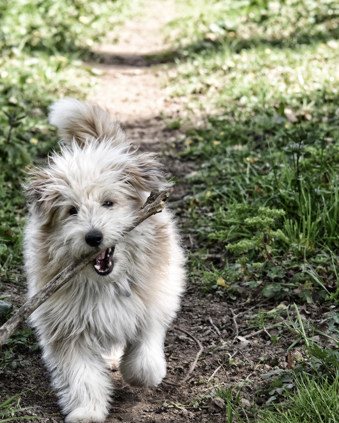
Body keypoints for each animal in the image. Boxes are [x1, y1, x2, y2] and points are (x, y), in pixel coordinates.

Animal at [23, 97, 186, 422]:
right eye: (71, 210)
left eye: (108, 203)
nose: (94, 237)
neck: (106, 282)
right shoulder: (66, 327)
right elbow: (81, 375)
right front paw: (87, 410)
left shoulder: (153, 299)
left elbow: (145, 353)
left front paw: (139, 373)